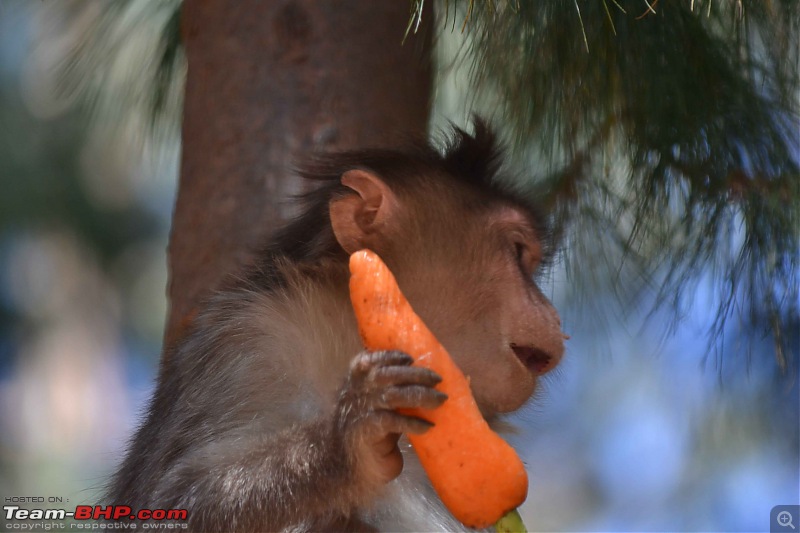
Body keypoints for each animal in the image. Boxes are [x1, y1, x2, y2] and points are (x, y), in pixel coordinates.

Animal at [106, 120, 564, 532]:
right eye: (517, 251)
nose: (553, 313)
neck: (350, 342)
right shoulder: (246, 341)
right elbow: (166, 502)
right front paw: (347, 440)